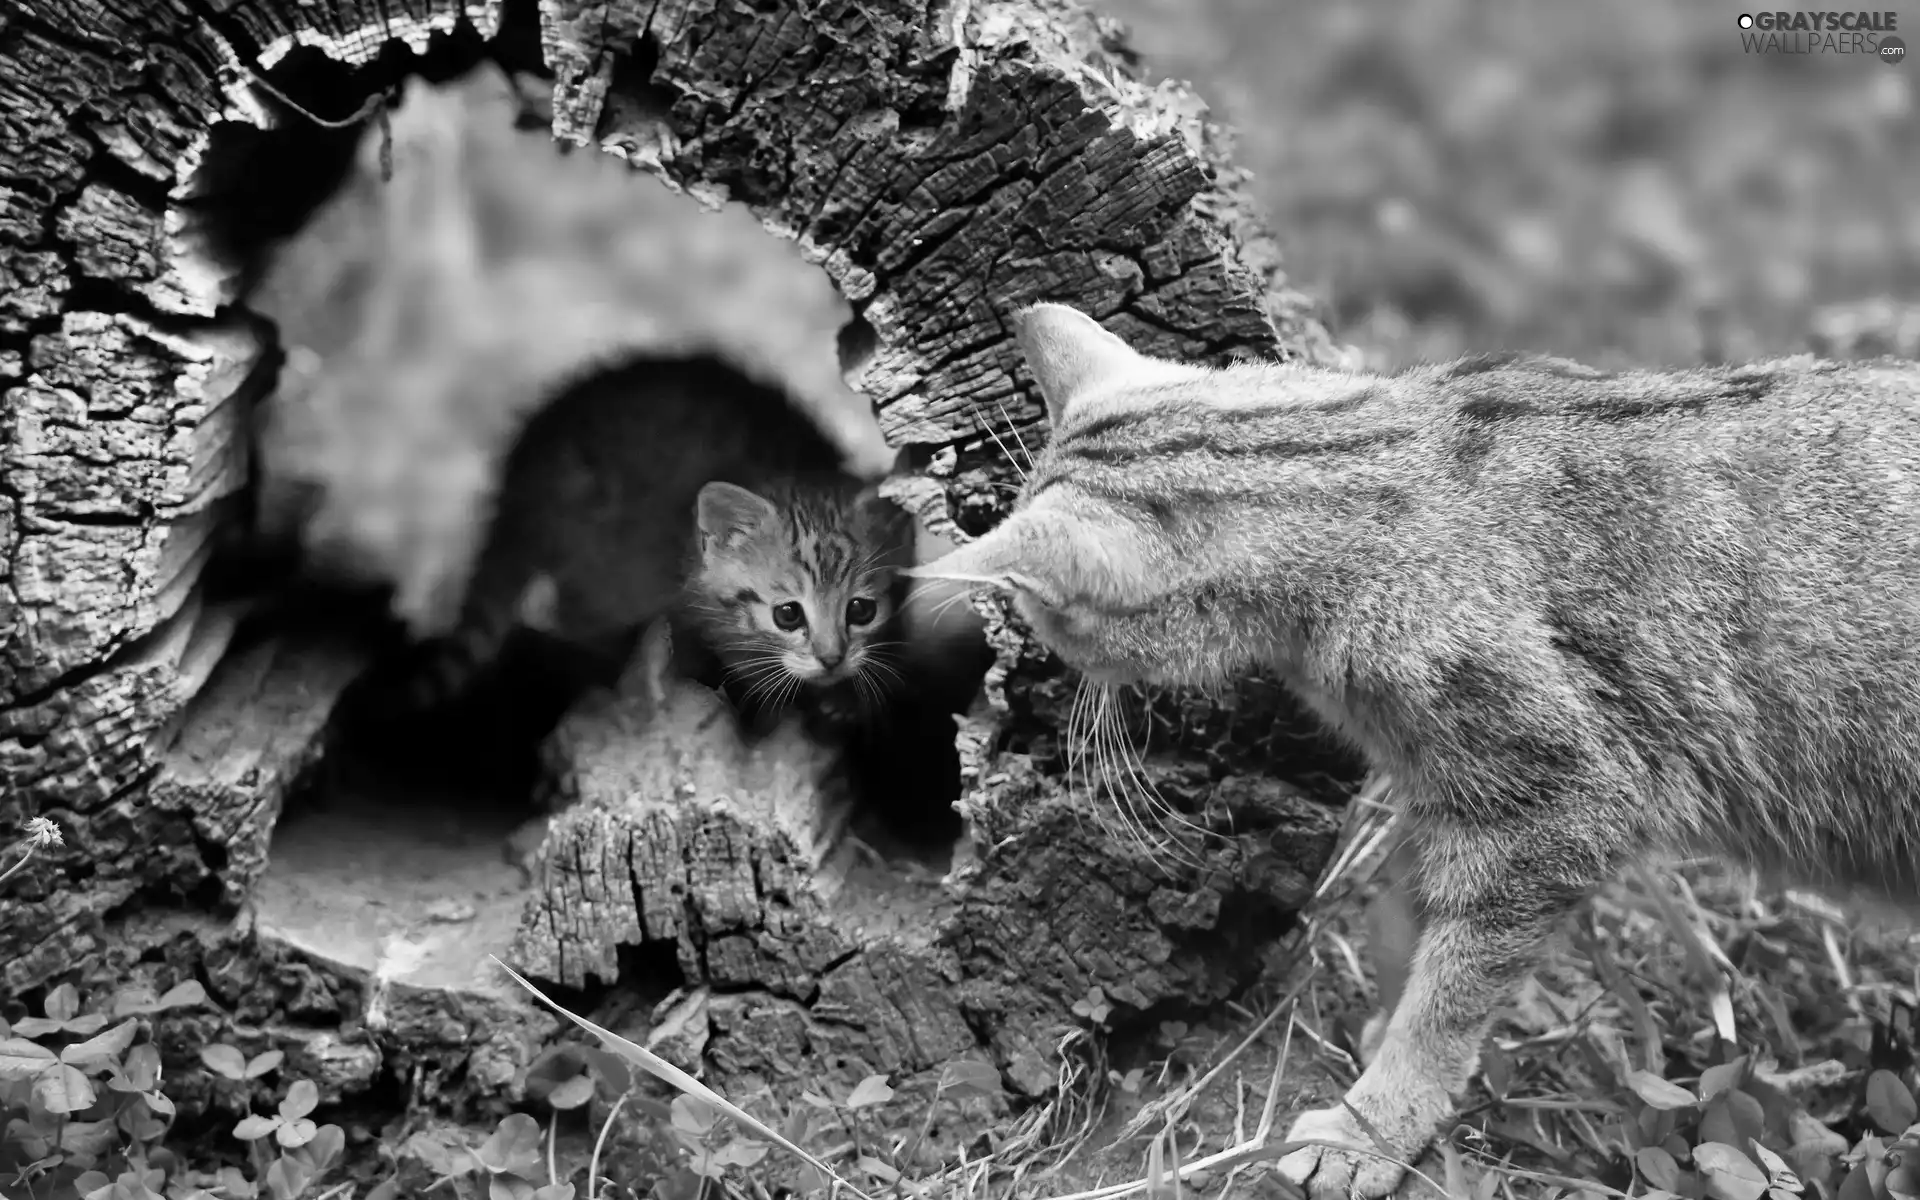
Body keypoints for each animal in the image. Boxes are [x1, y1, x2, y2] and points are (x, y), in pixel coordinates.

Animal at [906, 301, 1920, 1198]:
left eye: (1042, 610)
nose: (1034, 653)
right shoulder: (1445, 799)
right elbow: (1409, 933)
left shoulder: (1554, 805)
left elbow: (1449, 994)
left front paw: (1372, 1126)